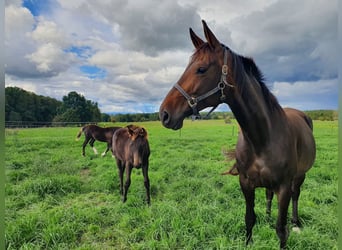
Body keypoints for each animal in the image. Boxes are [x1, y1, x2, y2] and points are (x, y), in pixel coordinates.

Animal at [159, 20, 316, 249]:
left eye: (201, 69)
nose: (164, 114)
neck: (263, 138)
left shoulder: (284, 188)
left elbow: (281, 229)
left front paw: (286, 227)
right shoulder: (246, 184)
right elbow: (249, 219)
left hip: (300, 176)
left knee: (297, 195)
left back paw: (296, 223)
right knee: (268, 195)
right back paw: (268, 215)